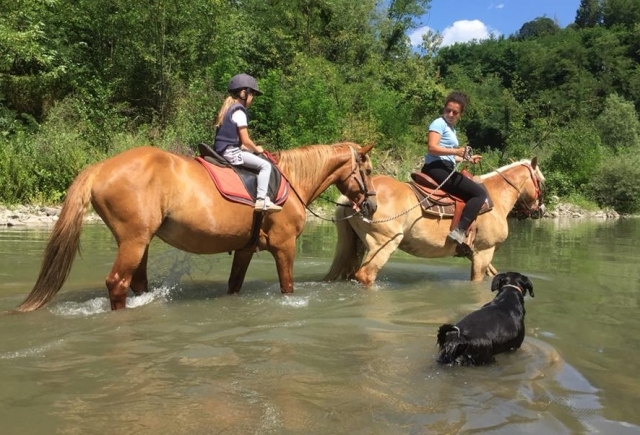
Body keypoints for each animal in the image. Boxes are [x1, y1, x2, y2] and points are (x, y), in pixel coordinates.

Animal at [15, 142, 375, 312]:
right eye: (368, 170)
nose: (371, 205)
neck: (292, 179)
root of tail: (101, 167)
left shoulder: (245, 250)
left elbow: (234, 285)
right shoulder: (284, 246)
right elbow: (287, 287)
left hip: (139, 243)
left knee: (136, 283)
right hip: (133, 240)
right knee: (117, 283)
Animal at [324, 158, 545, 285]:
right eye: (542, 182)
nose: (540, 210)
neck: (496, 198)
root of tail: (355, 197)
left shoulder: (476, 254)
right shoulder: (484, 252)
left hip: (359, 245)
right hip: (383, 244)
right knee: (365, 276)